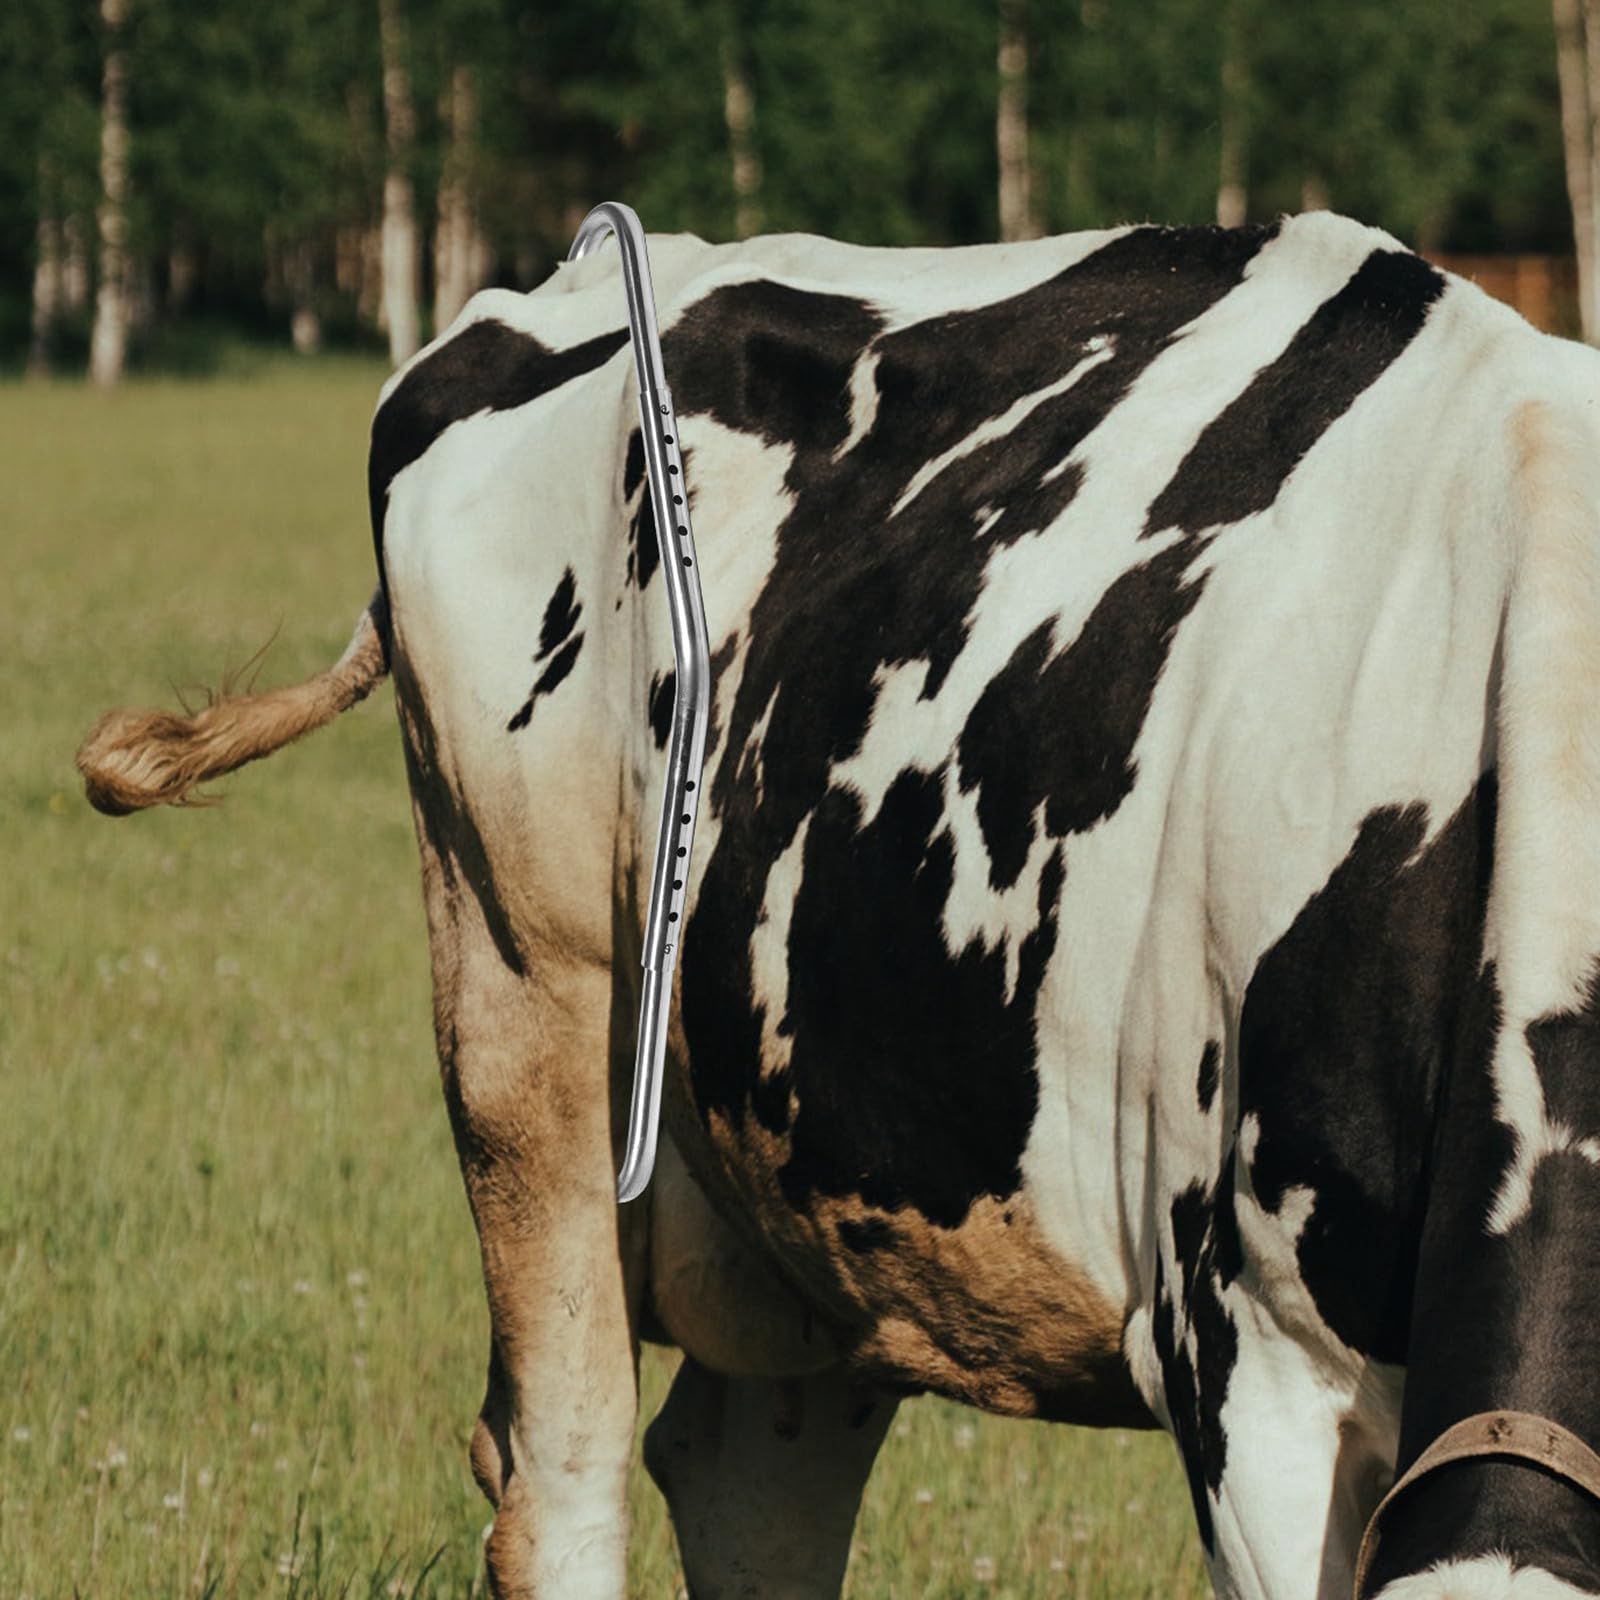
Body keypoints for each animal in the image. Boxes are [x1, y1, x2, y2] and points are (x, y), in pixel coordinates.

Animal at [78, 208, 1600, 1600]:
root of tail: (591, 269)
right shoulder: (1248, 1362)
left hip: (812, 1176)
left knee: (744, 1480)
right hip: (525, 1019)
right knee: (562, 1473)